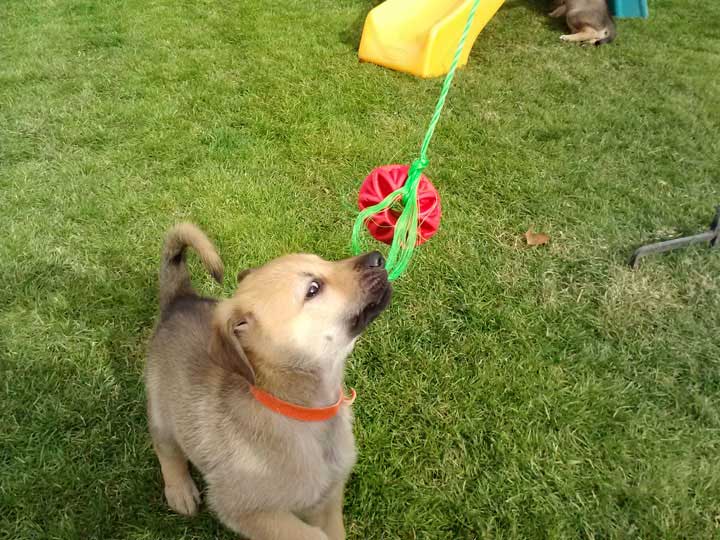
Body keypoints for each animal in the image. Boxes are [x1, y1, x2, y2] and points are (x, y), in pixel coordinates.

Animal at [144, 224, 390, 540]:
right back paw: (180, 490)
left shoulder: (326, 498)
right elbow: (310, 536)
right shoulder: (246, 509)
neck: (301, 410)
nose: (377, 258)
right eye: (313, 289)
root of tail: (179, 300)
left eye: (323, 261)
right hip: (162, 407)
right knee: (166, 446)